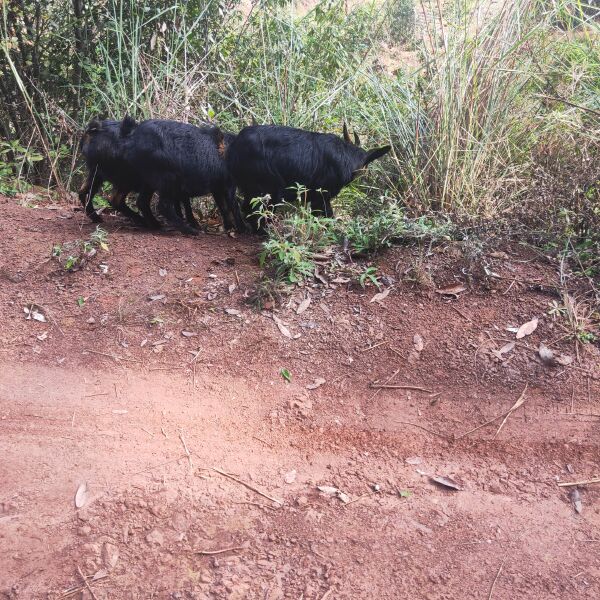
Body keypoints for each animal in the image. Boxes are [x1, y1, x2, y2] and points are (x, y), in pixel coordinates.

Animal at [227, 123, 392, 226]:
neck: (346, 155)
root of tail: (235, 145)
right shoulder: (322, 195)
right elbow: (328, 216)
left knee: (245, 208)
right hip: (271, 189)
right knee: (257, 211)